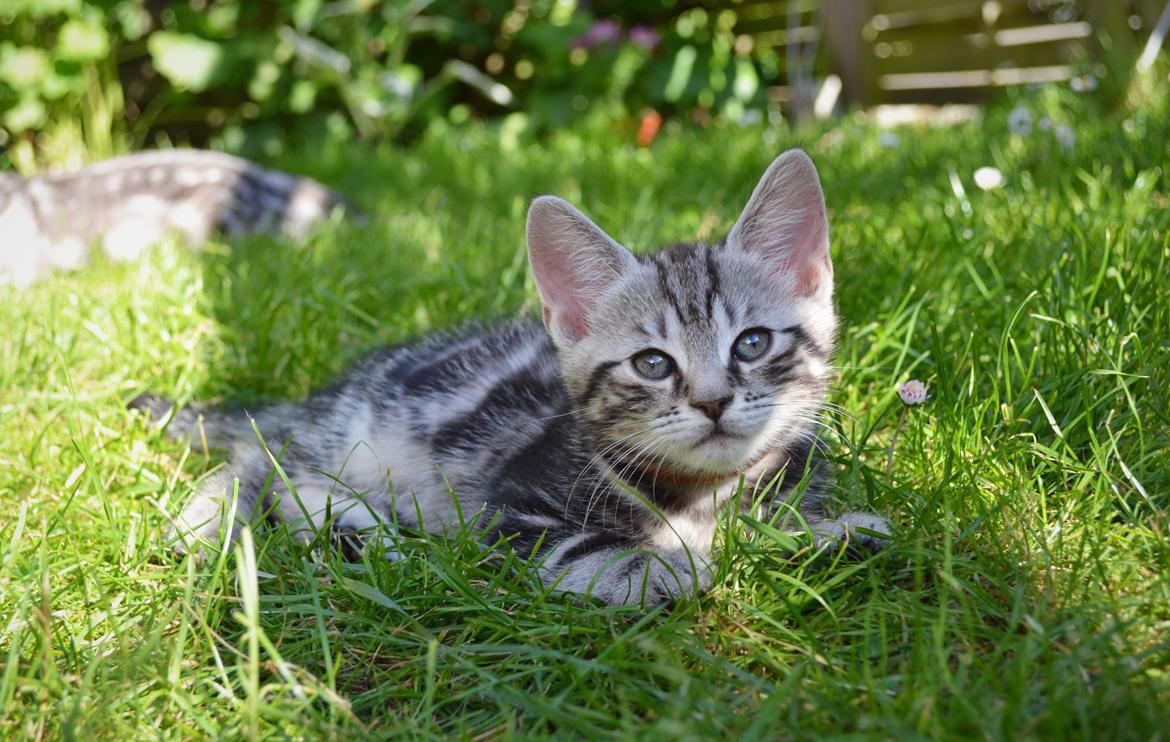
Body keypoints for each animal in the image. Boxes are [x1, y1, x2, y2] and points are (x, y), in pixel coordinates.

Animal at [134, 149, 884, 608]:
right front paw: (666, 565)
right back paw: (215, 522)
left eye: (752, 343)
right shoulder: (504, 509)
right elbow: (588, 549)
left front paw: (826, 533)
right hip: (357, 433)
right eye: (653, 363)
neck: (703, 494)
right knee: (260, 458)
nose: (713, 401)